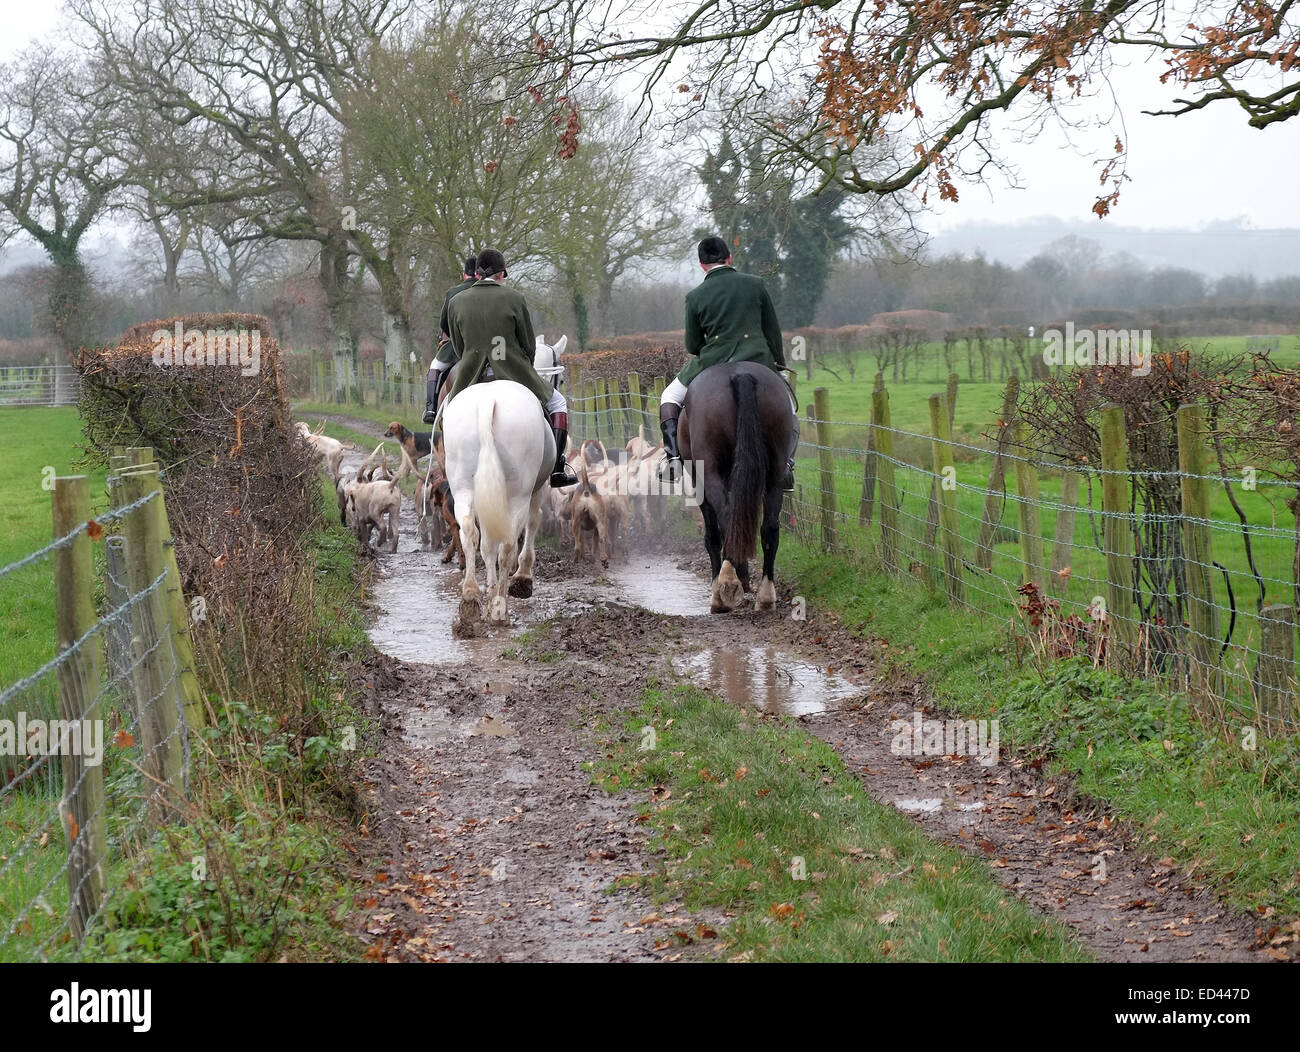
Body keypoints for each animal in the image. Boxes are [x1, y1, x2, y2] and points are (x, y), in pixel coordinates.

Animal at [441, 377, 553, 624]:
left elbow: (486, 546)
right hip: (518, 495)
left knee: (470, 534)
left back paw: (471, 597)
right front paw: (522, 578)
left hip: (463, 488)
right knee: (508, 545)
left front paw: (489, 591)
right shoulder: (537, 490)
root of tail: (487, 401)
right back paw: (500, 608)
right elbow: (533, 522)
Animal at [681, 361, 790, 611]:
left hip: (709, 473)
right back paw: (765, 596)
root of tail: (741, 374)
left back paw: (727, 586)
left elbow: (712, 537)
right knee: (769, 528)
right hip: (776, 474)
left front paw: (720, 586)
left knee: (726, 520)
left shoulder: (699, 483)